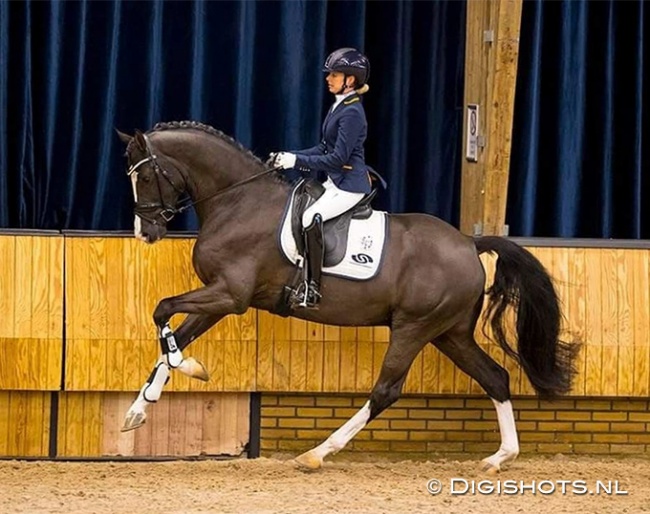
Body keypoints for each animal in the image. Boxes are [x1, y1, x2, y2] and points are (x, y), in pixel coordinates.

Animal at [116, 120, 576, 472]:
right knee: (495, 377)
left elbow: (162, 311)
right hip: (450, 333)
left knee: (386, 390)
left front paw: (188, 368)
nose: (145, 233)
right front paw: (139, 408)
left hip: (414, 327)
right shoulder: (219, 297)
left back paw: (316, 454)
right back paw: (500, 457)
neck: (238, 201)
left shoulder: (229, 295)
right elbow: (174, 333)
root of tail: (468, 243)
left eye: (145, 176)